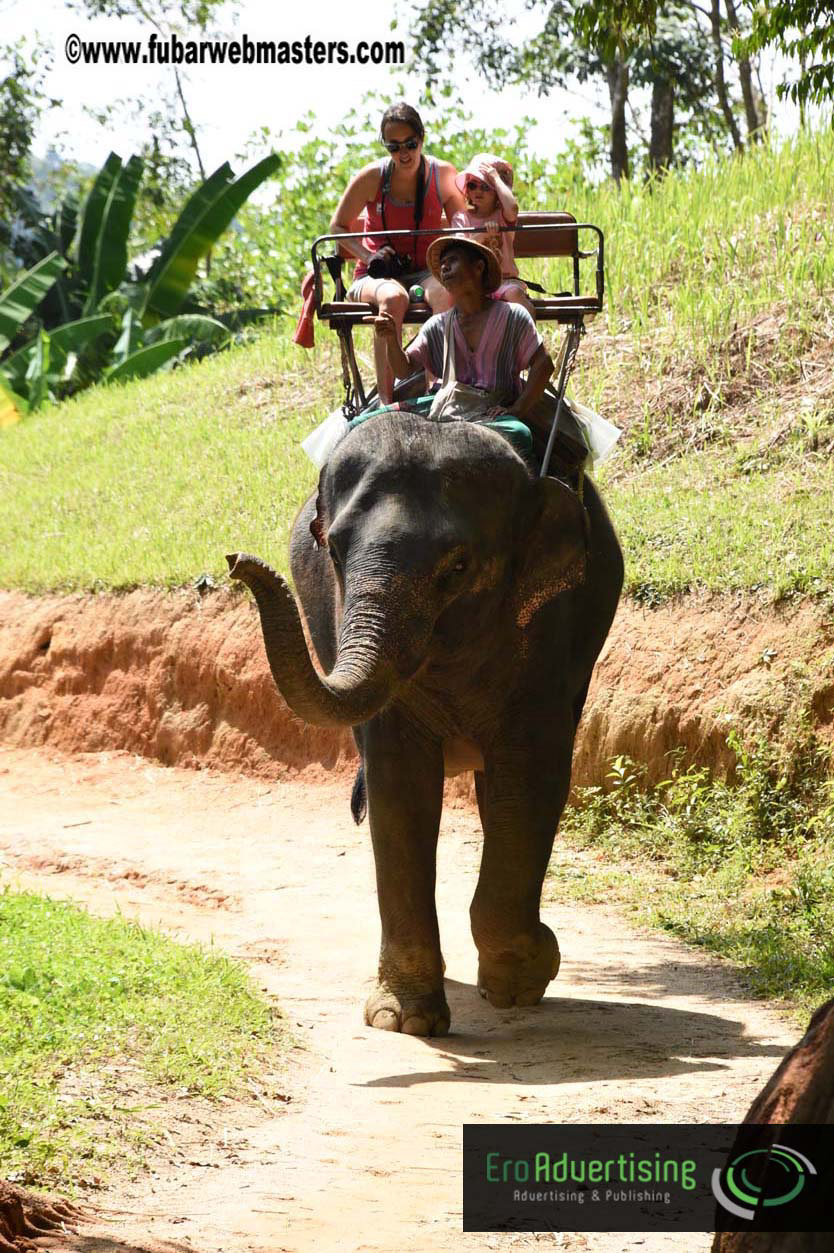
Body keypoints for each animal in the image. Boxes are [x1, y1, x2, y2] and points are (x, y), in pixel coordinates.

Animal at [227, 412, 623, 1036]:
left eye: (457, 567)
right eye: (333, 549)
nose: (233, 564)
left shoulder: (550, 635)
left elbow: (527, 779)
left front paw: (522, 979)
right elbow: (399, 785)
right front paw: (404, 1020)